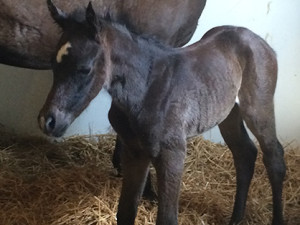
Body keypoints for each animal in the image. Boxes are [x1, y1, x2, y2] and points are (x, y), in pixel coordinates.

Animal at [38, 2, 286, 225]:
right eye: (52, 63)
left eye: (85, 69)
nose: (47, 121)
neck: (147, 89)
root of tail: (259, 41)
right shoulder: (134, 152)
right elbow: (125, 213)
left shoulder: (172, 154)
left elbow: (166, 218)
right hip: (228, 113)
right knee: (245, 154)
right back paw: (235, 219)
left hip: (257, 109)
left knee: (274, 157)